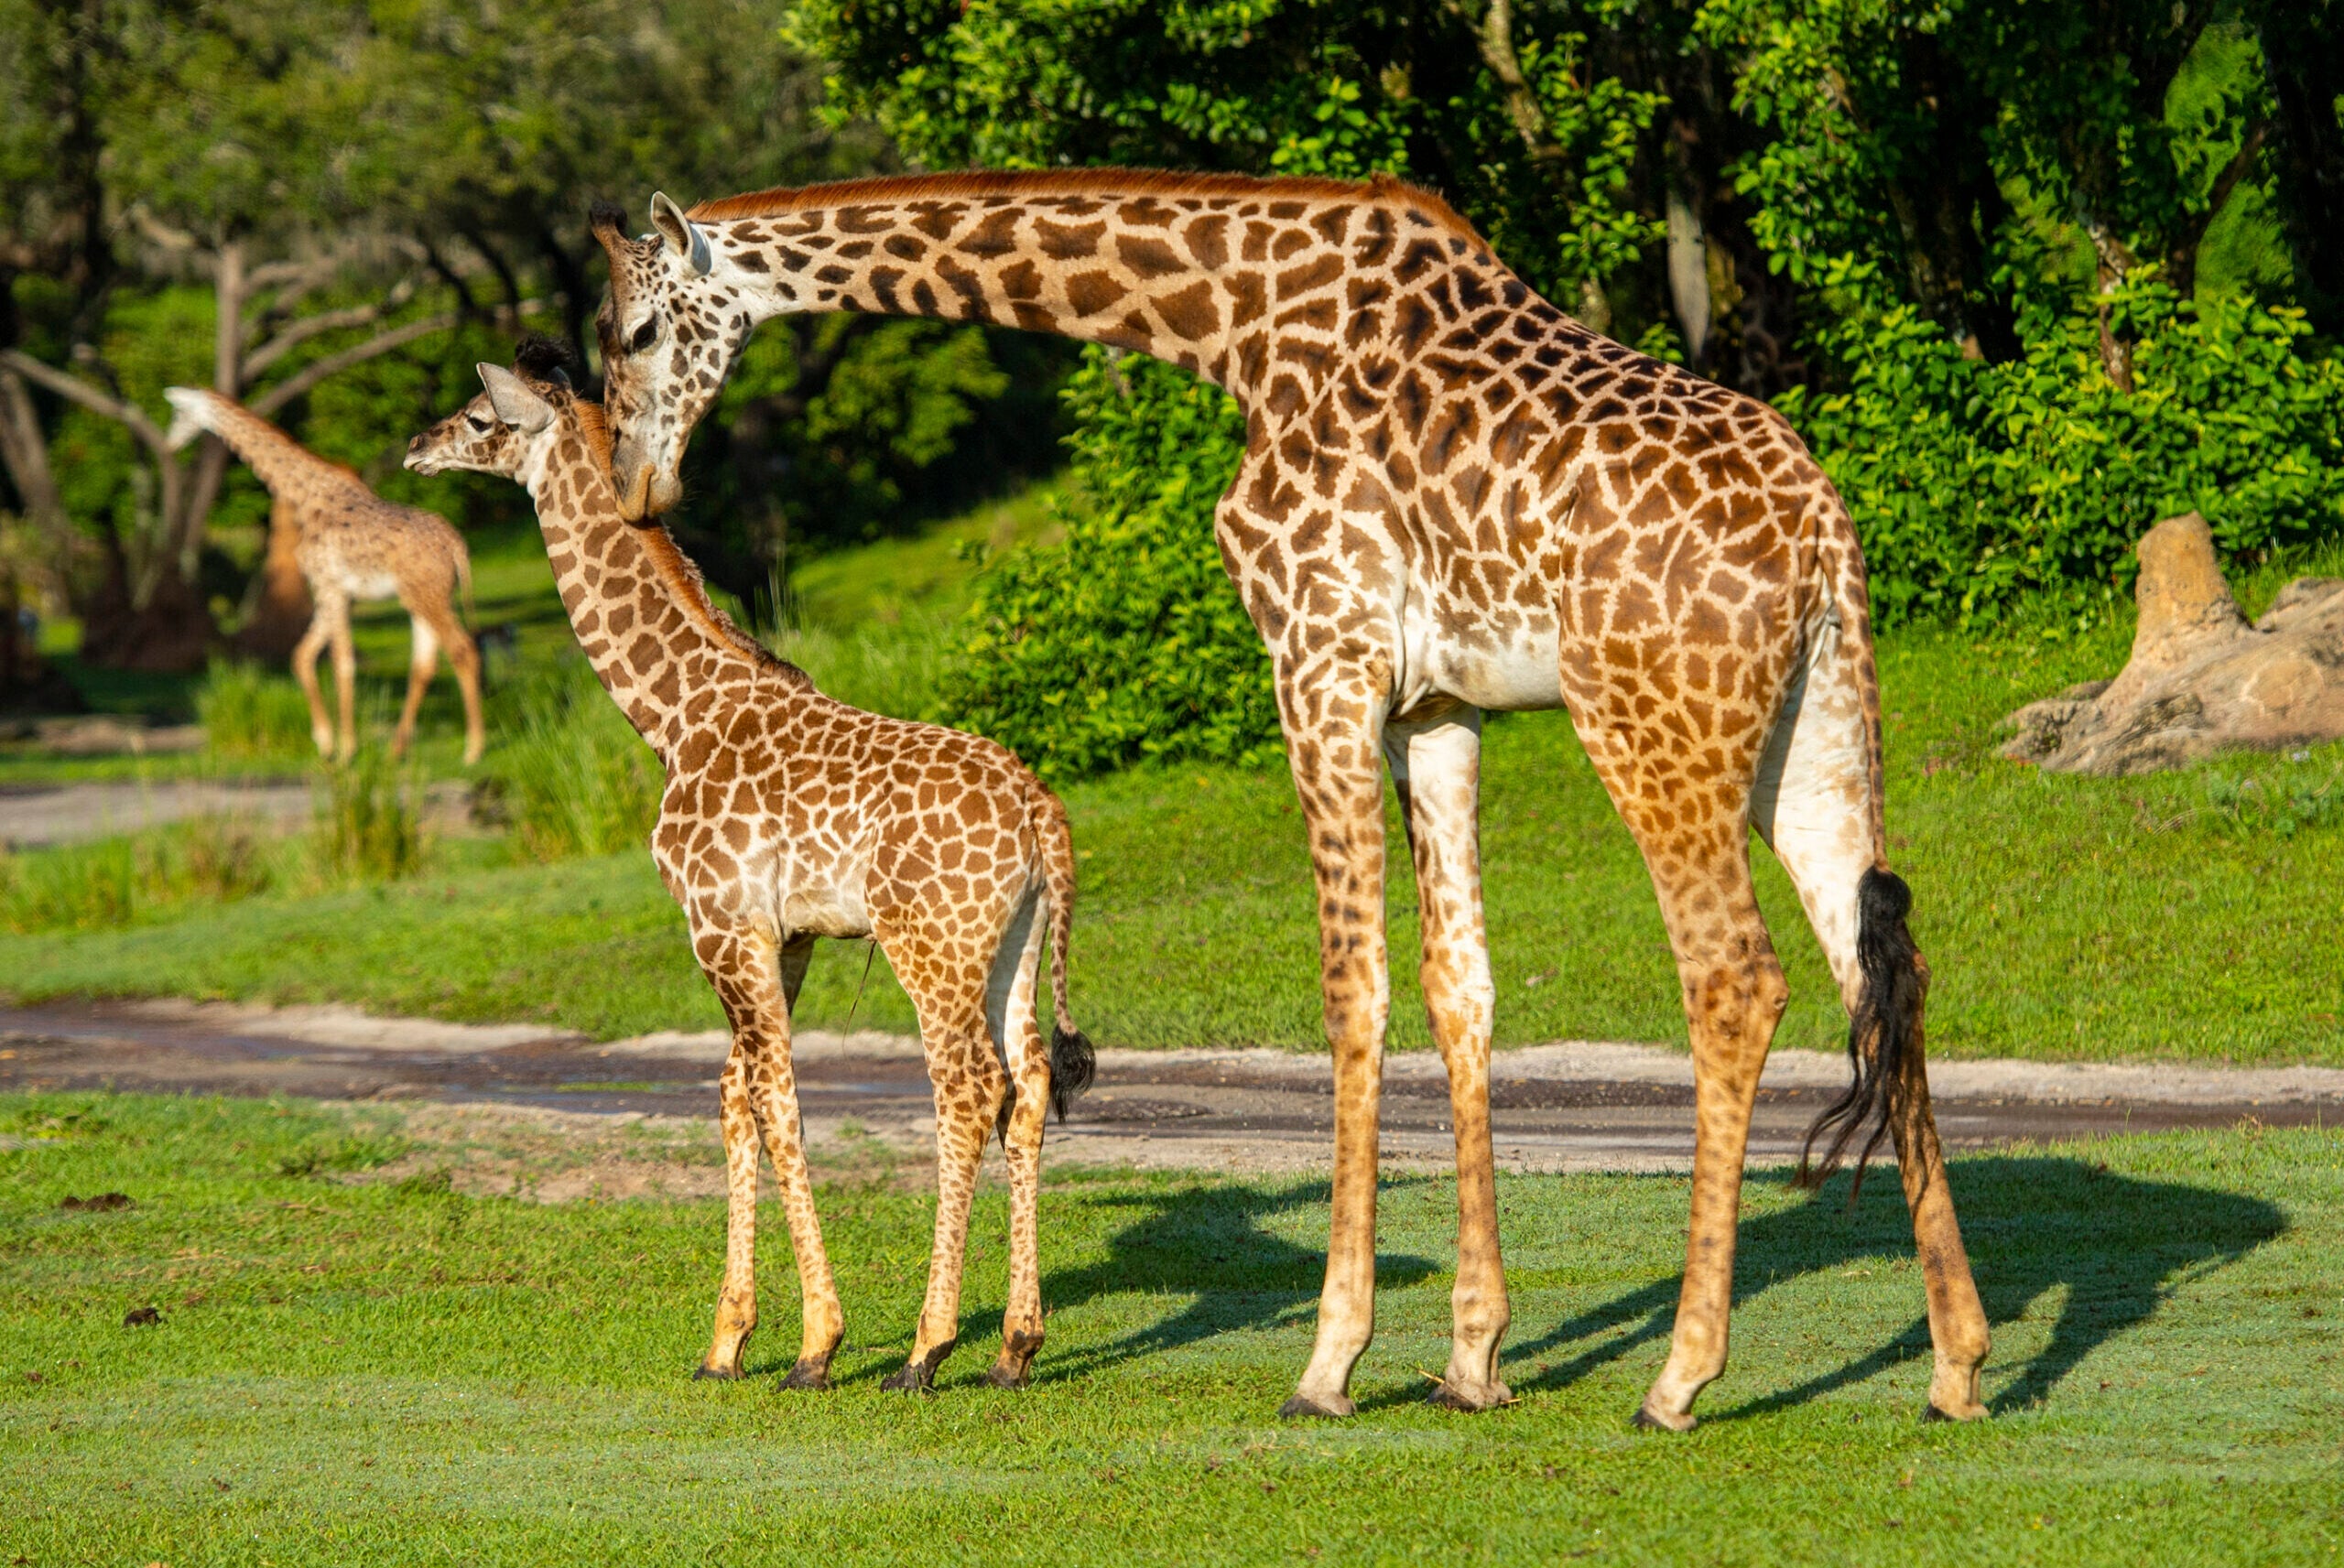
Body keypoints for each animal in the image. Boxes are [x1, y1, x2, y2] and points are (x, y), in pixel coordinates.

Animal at [164, 388, 485, 765]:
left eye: (178, 412)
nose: (169, 443)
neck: (306, 497)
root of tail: (458, 547)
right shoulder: (332, 593)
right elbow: (303, 656)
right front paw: (326, 742)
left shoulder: (329, 586)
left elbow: (341, 663)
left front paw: (346, 750)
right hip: (420, 596)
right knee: (424, 664)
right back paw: (396, 750)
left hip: (427, 594)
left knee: (462, 649)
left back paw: (473, 750)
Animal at [404, 342, 1096, 1393]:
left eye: (483, 417)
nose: (417, 445)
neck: (671, 717)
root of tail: (1040, 815)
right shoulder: (787, 936)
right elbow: (735, 1095)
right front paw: (725, 1340)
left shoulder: (721, 925)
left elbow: (776, 1103)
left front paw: (816, 1344)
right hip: (1013, 941)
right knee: (1030, 1086)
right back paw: (1015, 1347)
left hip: (928, 942)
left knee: (970, 1089)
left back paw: (926, 1349)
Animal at [581, 170, 1991, 1428]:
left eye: (636, 330)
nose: (642, 488)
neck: (1236, 328)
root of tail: (1822, 532)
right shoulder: (1434, 706)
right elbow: (1460, 988)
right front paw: (1473, 1362)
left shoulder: (1320, 656)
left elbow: (1350, 986)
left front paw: (1330, 1363)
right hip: (1812, 733)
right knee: (1885, 963)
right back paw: (1957, 1364)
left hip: (1651, 723)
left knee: (1736, 979)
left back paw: (1679, 1381)